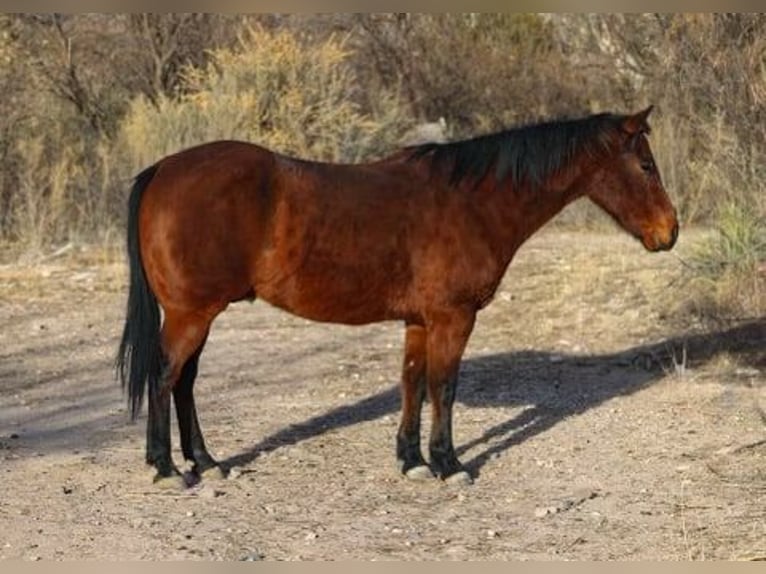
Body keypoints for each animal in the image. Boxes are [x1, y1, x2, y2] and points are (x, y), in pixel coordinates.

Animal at [116, 106, 678, 488]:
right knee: (165, 377)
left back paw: (206, 462)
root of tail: (163, 169)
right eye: (646, 165)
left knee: (184, 382)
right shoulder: (453, 318)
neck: (471, 201)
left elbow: (413, 383)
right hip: (191, 314)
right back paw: (167, 468)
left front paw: (412, 460)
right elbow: (443, 386)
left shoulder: (419, 320)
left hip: (198, 314)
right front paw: (449, 464)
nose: (669, 232)